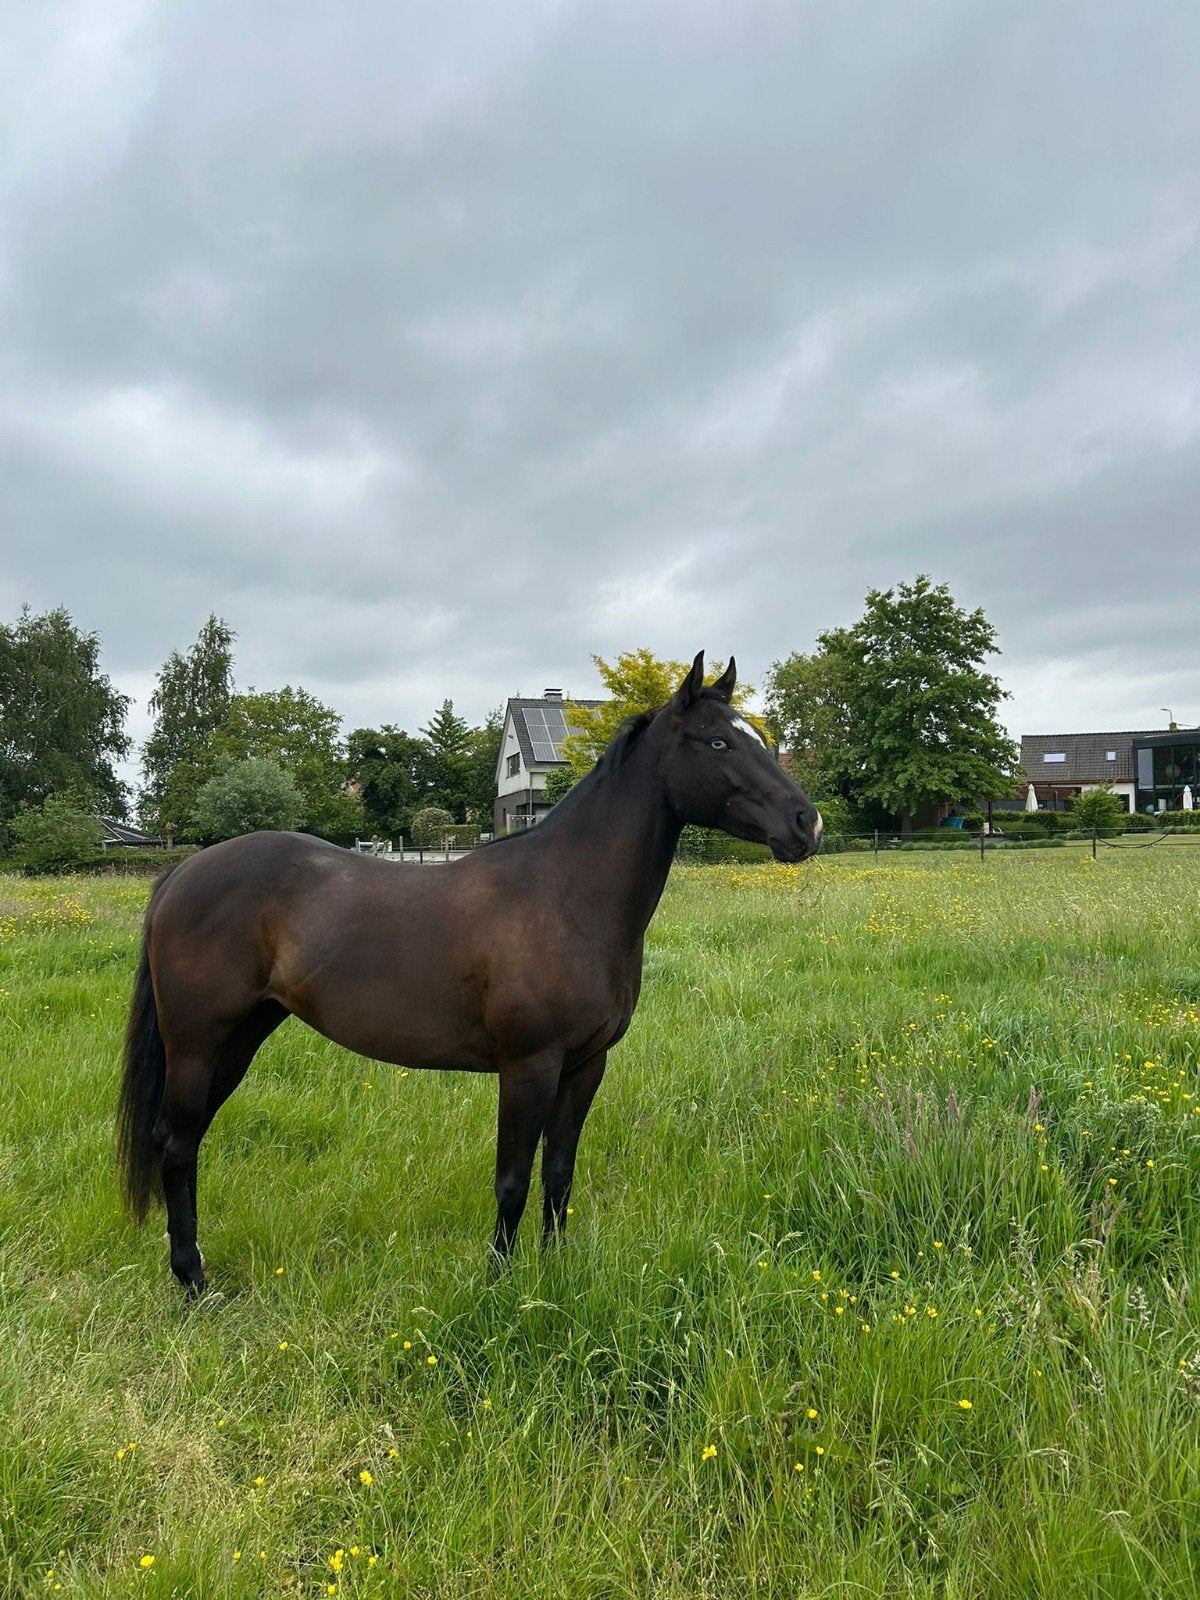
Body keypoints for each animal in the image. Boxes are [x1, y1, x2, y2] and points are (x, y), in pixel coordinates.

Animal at [117, 652, 823, 1293]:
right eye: (719, 741)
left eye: (760, 738)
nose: (807, 823)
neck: (567, 895)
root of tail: (182, 872)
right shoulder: (528, 1066)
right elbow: (512, 1181)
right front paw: (497, 1289)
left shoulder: (585, 1066)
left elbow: (558, 1174)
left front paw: (553, 1277)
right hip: (199, 1043)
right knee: (175, 1143)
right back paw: (192, 1282)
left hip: (239, 1040)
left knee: (188, 1142)